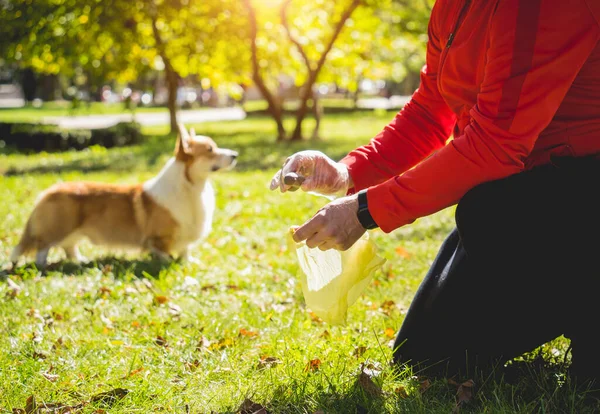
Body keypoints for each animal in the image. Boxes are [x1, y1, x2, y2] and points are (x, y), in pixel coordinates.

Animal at [9, 123, 237, 268]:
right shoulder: (159, 238)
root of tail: (49, 191)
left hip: (74, 230)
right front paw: (167, 262)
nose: (235, 155)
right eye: (210, 149)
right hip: (59, 227)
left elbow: (185, 251)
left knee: (69, 247)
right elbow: (162, 252)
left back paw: (80, 261)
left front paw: (188, 262)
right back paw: (42, 265)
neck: (191, 186)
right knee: (43, 245)